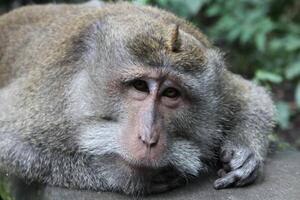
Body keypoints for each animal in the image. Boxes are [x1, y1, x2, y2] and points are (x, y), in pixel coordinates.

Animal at [0, 1, 276, 195]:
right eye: (140, 86)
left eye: (171, 93)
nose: (149, 137)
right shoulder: (54, 103)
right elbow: (9, 145)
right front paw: (121, 177)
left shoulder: (219, 88)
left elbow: (252, 96)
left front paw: (245, 152)